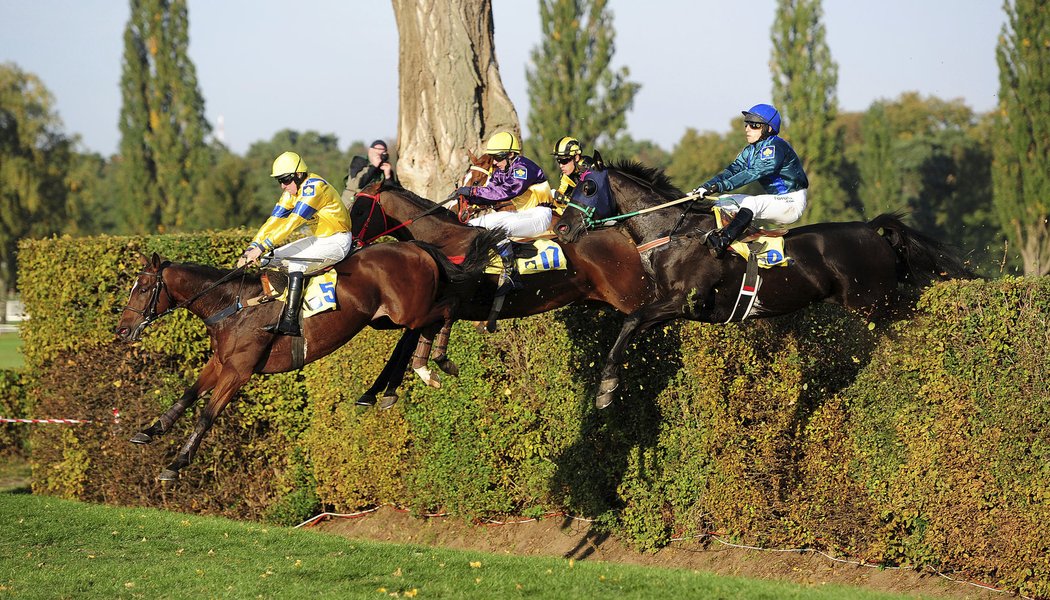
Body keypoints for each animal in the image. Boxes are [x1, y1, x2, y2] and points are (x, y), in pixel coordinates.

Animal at [114, 232, 503, 481]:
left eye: (144, 288)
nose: (121, 330)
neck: (233, 305)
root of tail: (418, 248)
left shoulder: (239, 371)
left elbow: (207, 415)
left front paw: (176, 463)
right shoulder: (220, 362)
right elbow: (188, 394)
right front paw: (150, 430)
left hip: (411, 309)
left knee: (448, 308)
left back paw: (436, 361)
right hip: (386, 318)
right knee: (413, 334)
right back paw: (391, 387)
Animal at [558, 161, 974, 411]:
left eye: (588, 189)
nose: (561, 227)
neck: (673, 234)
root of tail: (872, 229)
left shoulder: (686, 302)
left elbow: (629, 321)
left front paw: (606, 389)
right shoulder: (671, 308)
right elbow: (632, 325)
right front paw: (609, 383)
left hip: (875, 301)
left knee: (918, 316)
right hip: (876, 302)